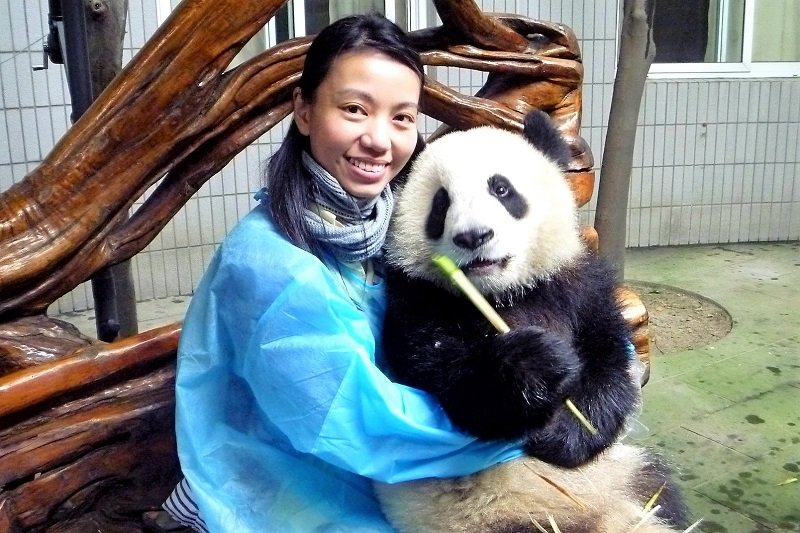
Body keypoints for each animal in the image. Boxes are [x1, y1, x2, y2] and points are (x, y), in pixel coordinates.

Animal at [376, 110, 688, 528]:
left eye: (502, 190)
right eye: (440, 204)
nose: (474, 236)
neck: (502, 294)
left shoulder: (576, 285)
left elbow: (608, 361)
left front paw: (571, 429)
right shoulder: (418, 300)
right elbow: (449, 378)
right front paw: (536, 363)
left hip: (625, 473)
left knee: (660, 488)